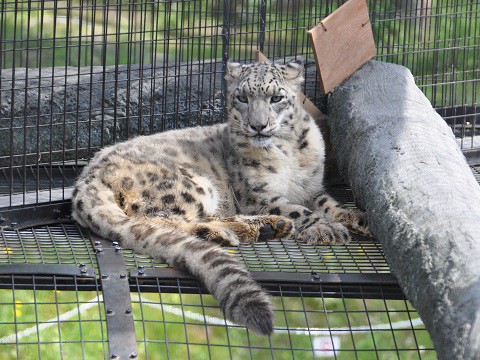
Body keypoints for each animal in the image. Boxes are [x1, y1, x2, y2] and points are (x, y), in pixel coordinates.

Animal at [72, 58, 368, 334]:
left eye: (276, 98)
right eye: (242, 97)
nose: (258, 126)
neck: (290, 152)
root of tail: (86, 178)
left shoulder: (311, 188)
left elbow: (327, 203)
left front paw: (356, 218)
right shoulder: (259, 196)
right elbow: (297, 210)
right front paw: (325, 228)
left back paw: (265, 227)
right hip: (192, 185)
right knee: (165, 220)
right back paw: (241, 230)